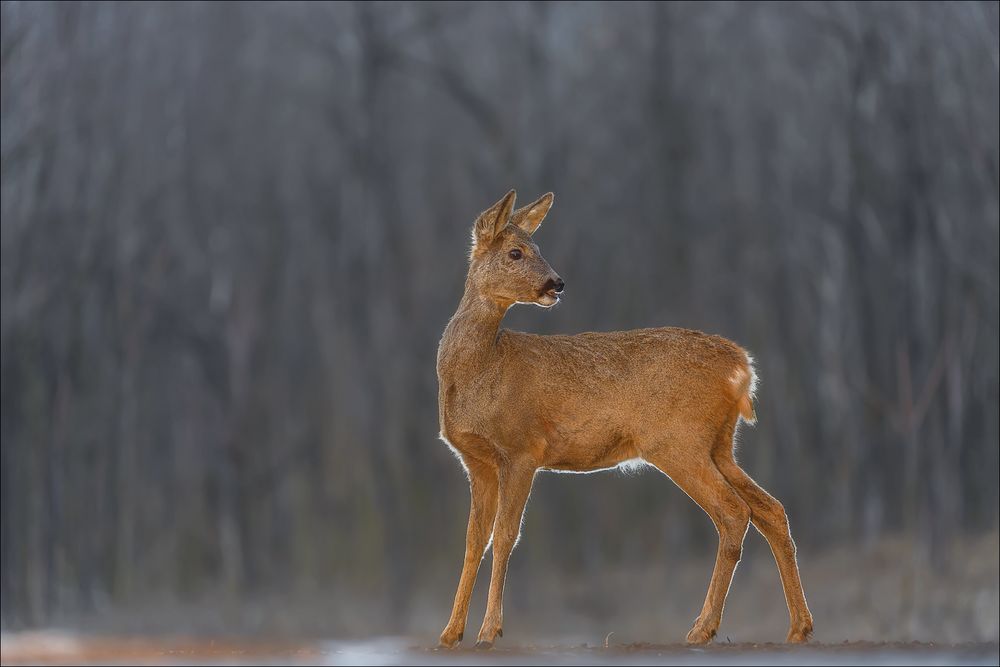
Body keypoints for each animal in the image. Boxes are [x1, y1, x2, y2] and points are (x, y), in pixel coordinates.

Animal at [438, 190, 812, 648]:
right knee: (771, 509)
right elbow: (474, 541)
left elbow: (505, 536)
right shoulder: (477, 461)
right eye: (516, 252)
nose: (557, 283)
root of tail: (742, 366)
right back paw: (798, 627)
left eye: (536, 247)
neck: (479, 371)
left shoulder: (523, 449)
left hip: (677, 440)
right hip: (720, 444)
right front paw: (450, 632)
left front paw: (490, 630)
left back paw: (702, 627)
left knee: (733, 512)